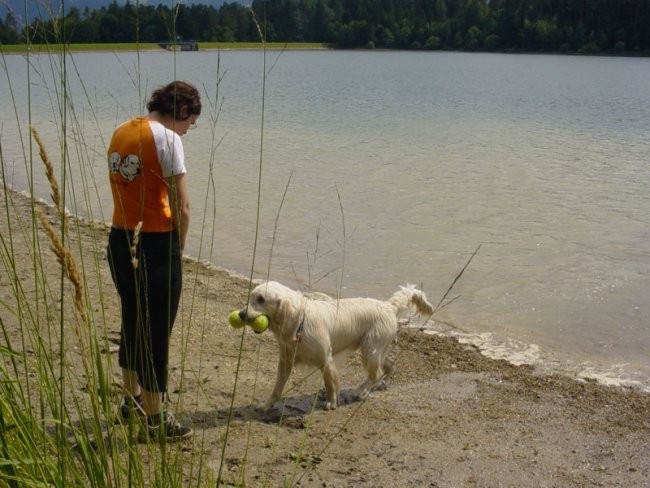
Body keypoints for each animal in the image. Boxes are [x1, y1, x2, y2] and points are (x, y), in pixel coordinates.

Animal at [237, 280, 430, 410]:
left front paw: (331, 402)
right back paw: (377, 386)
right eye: (252, 296)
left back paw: (360, 391)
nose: (241, 314)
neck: (300, 322)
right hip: (376, 348)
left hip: (370, 349)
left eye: (261, 299)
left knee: (376, 374)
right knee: (387, 366)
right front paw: (266, 405)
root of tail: (387, 305)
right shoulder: (285, 359)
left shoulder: (325, 359)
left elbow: (330, 383)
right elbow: (277, 387)